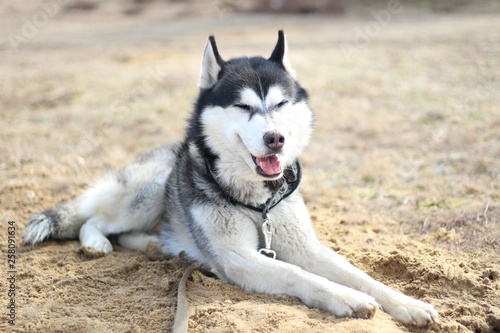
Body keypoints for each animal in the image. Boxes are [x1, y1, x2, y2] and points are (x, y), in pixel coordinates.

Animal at [23, 30, 438, 324]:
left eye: (281, 103)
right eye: (242, 106)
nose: (275, 138)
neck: (259, 201)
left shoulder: (304, 246)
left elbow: (360, 274)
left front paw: (407, 304)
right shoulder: (238, 258)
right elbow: (298, 275)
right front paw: (348, 298)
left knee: (126, 231)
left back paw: (157, 246)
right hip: (152, 188)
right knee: (95, 220)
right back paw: (97, 244)